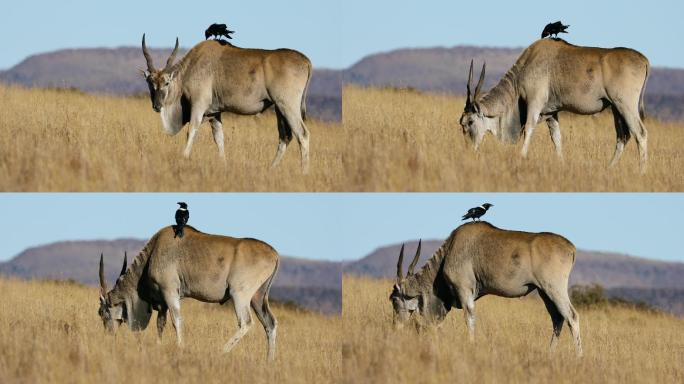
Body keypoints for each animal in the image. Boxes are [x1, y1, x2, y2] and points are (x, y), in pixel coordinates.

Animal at [142, 34, 312, 172]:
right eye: (150, 82)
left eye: (166, 83)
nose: (157, 106)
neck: (192, 66)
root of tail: (306, 61)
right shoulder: (214, 113)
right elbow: (219, 139)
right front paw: (223, 164)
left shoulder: (198, 106)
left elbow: (191, 131)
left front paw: (183, 158)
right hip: (279, 109)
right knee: (285, 137)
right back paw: (271, 169)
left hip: (287, 106)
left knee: (302, 134)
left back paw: (304, 171)